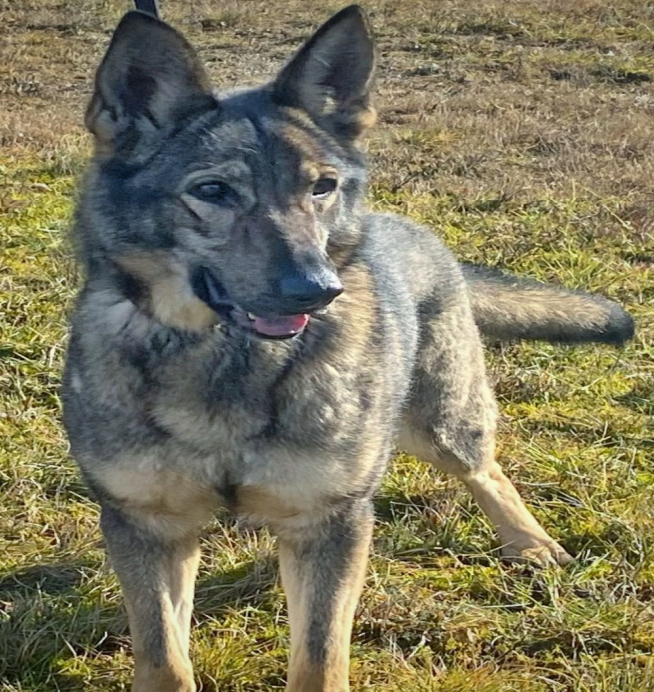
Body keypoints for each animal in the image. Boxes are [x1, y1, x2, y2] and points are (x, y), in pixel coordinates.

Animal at [61, 6, 636, 692]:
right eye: (215, 191)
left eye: (323, 187)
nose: (318, 289)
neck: (230, 361)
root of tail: (408, 228)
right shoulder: (148, 527)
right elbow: (165, 660)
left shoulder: (330, 522)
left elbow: (319, 657)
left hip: (439, 421)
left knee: (485, 468)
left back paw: (529, 542)